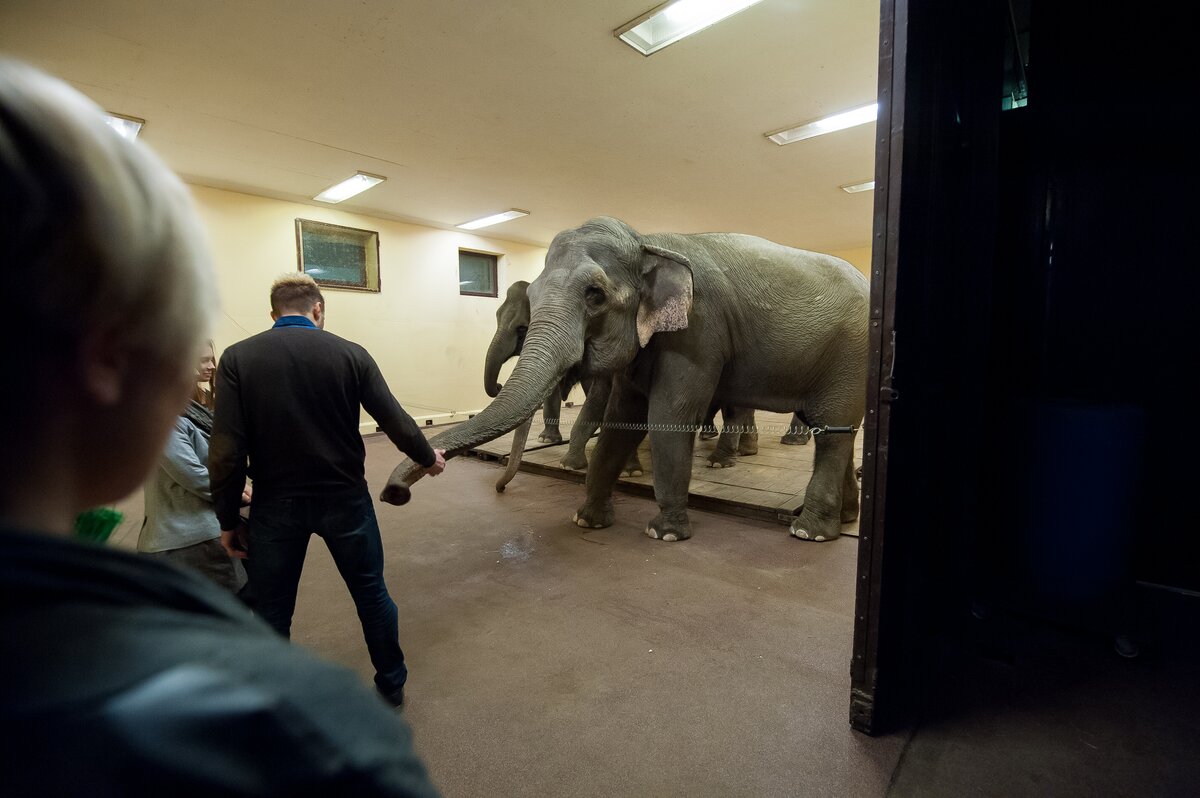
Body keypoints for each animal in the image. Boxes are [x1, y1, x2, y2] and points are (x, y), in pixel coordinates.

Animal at [383, 217, 869, 543]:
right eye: (532, 301)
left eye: (594, 295)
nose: (392, 493)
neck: (646, 243)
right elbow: (621, 418)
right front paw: (586, 520)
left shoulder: (698, 331)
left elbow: (667, 416)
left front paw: (664, 534)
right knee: (838, 431)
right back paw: (842, 519)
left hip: (851, 355)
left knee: (831, 431)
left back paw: (806, 531)